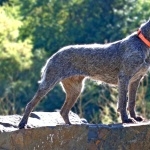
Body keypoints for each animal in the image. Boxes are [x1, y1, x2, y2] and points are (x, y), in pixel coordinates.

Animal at [19, 20, 150, 129]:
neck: (143, 43)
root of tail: (53, 56)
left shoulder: (135, 80)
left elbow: (132, 101)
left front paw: (135, 117)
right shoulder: (124, 78)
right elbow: (123, 102)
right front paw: (126, 119)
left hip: (75, 89)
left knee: (63, 111)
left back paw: (70, 125)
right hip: (49, 83)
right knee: (31, 104)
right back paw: (22, 124)